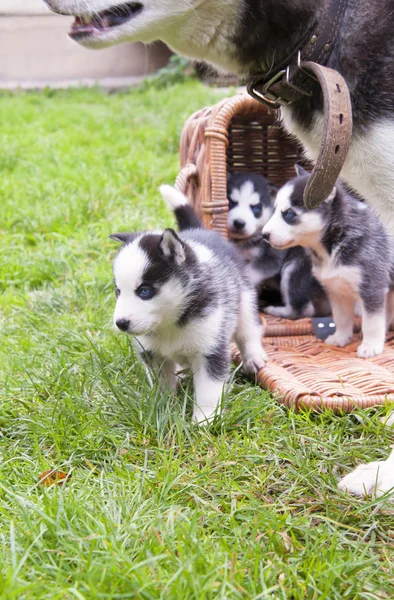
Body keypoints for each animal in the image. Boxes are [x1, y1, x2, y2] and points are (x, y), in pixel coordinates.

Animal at [109, 185, 266, 424]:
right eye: (118, 291)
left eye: (145, 290)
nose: (121, 323)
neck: (170, 324)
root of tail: (198, 231)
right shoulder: (153, 355)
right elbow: (162, 384)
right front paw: (163, 408)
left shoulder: (211, 350)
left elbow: (208, 390)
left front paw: (205, 420)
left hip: (245, 300)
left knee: (249, 331)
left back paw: (254, 357)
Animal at [264, 164, 394, 358]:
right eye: (274, 211)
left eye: (289, 214)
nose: (264, 235)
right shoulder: (336, 290)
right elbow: (340, 318)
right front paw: (341, 337)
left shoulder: (372, 288)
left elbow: (371, 322)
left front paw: (370, 345)